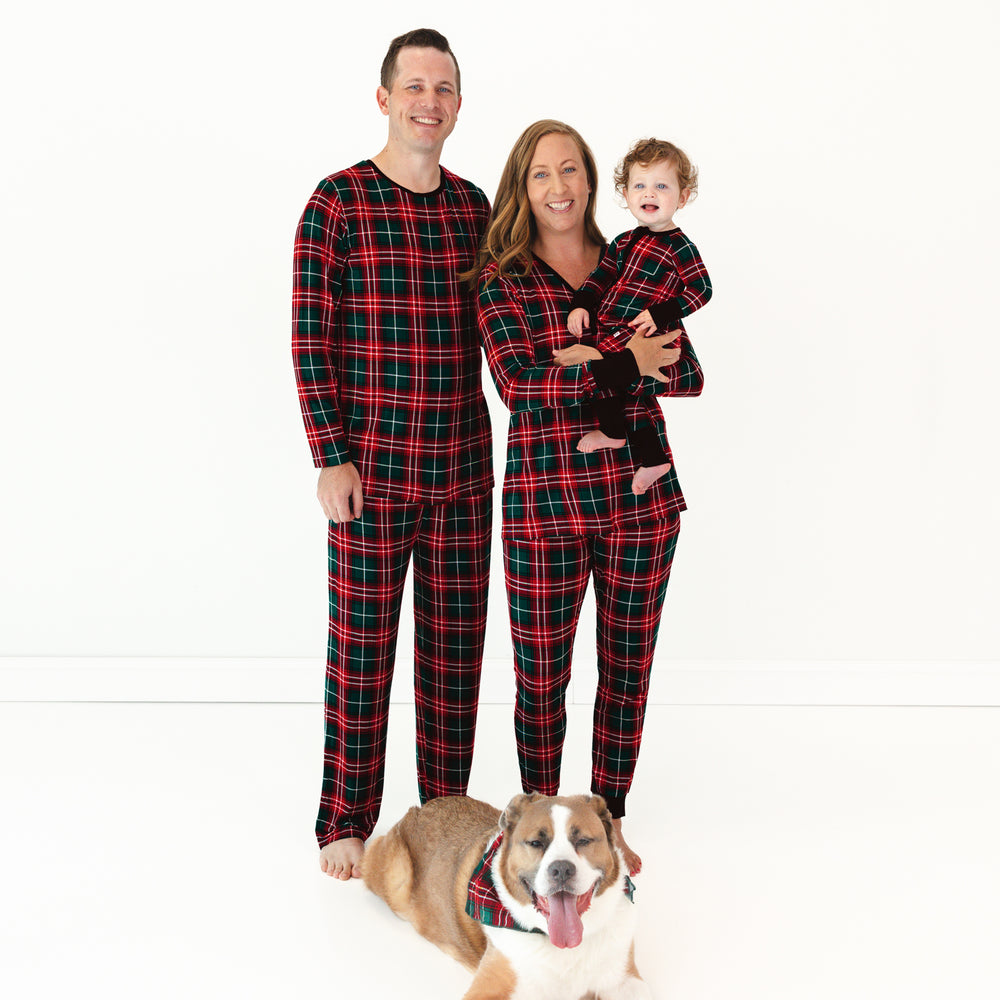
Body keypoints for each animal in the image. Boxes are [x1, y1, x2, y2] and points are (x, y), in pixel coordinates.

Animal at [364, 792, 652, 996]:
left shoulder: (625, 977)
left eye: (583, 841)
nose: (561, 869)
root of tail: (421, 808)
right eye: (536, 842)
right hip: (395, 876)